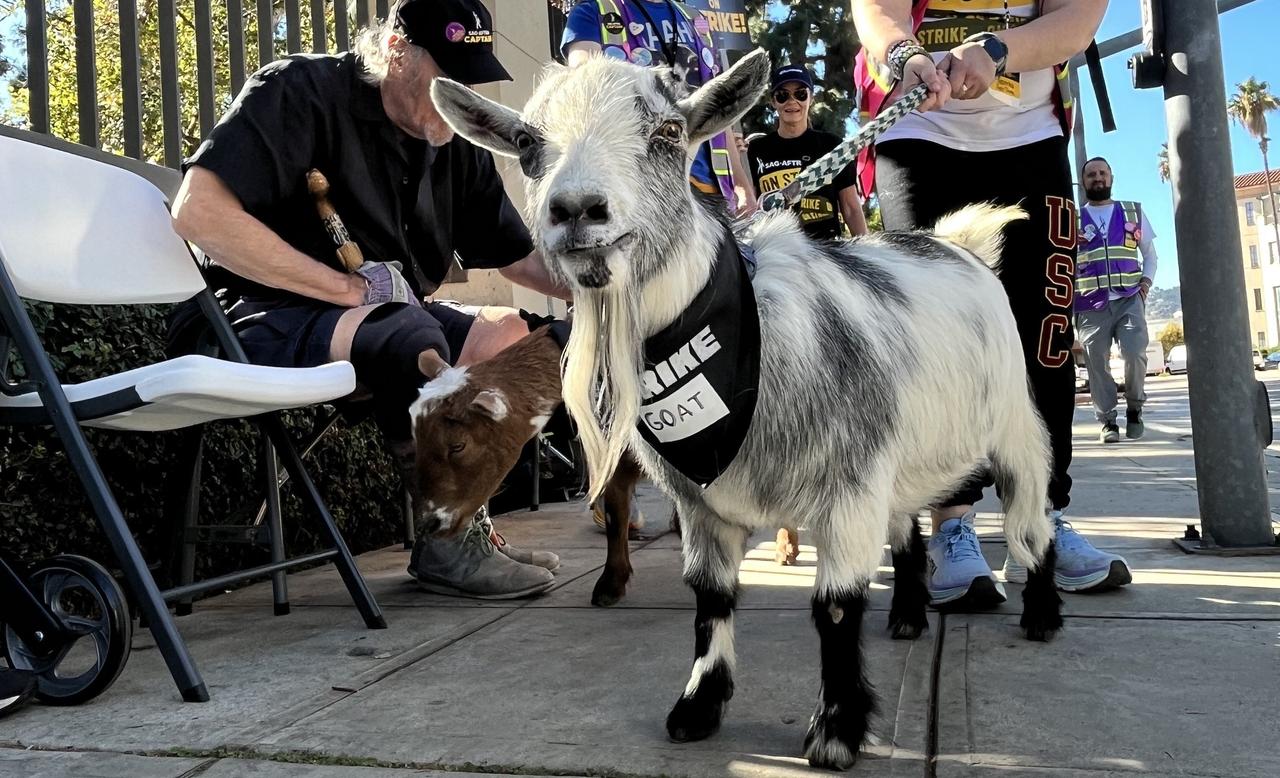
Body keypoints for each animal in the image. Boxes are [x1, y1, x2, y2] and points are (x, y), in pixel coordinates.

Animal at [435, 50, 1064, 772]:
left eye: (669, 133)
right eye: (526, 144)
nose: (577, 210)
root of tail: (959, 246)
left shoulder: (849, 489)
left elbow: (835, 610)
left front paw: (836, 733)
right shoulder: (705, 505)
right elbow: (710, 600)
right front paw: (698, 707)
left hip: (1015, 429)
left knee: (1031, 520)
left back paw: (1042, 613)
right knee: (908, 528)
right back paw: (908, 614)